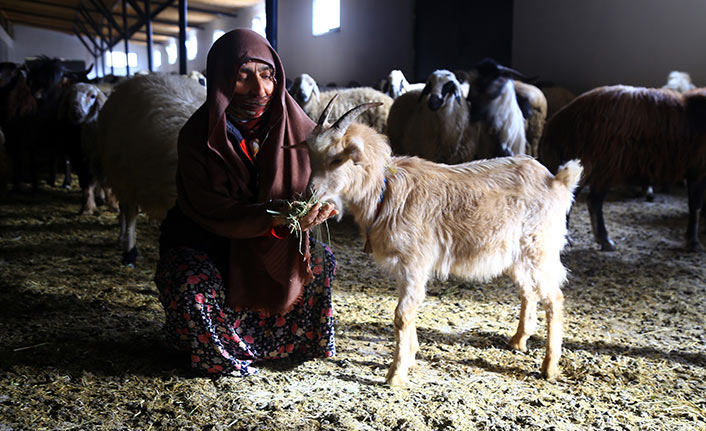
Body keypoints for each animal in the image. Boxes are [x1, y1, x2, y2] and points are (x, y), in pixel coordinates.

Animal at [306, 98, 580, 388]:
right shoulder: (407, 266)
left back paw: (549, 367)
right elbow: (410, 308)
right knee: (529, 291)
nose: (310, 192)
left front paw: (396, 374)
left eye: (337, 158)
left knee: (554, 298)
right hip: (516, 255)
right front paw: (411, 357)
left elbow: (402, 315)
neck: (385, 191)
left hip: (540, 247)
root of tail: (557, 181)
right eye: (311, 156)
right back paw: (518, 340)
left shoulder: (414, 261)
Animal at [540, 84, 706, 251]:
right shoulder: (698, 172)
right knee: (588, 200)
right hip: (600, 166)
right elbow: (695, 206)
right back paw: (597, 240)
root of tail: (556, 123)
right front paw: (693, 242)